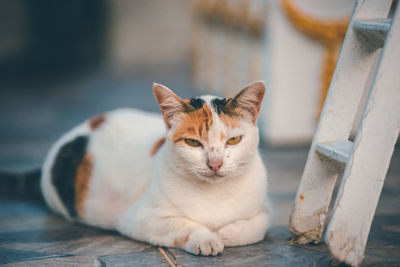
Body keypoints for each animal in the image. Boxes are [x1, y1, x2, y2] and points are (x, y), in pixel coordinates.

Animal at [40, 80, 270, 256]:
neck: (215, 195)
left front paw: (226, 233)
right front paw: (207, 238)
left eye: (234, 140)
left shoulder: (265, 209)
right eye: (192, 142)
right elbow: (182, 224)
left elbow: (258, 227)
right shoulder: (141, 219)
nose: (215, 163)